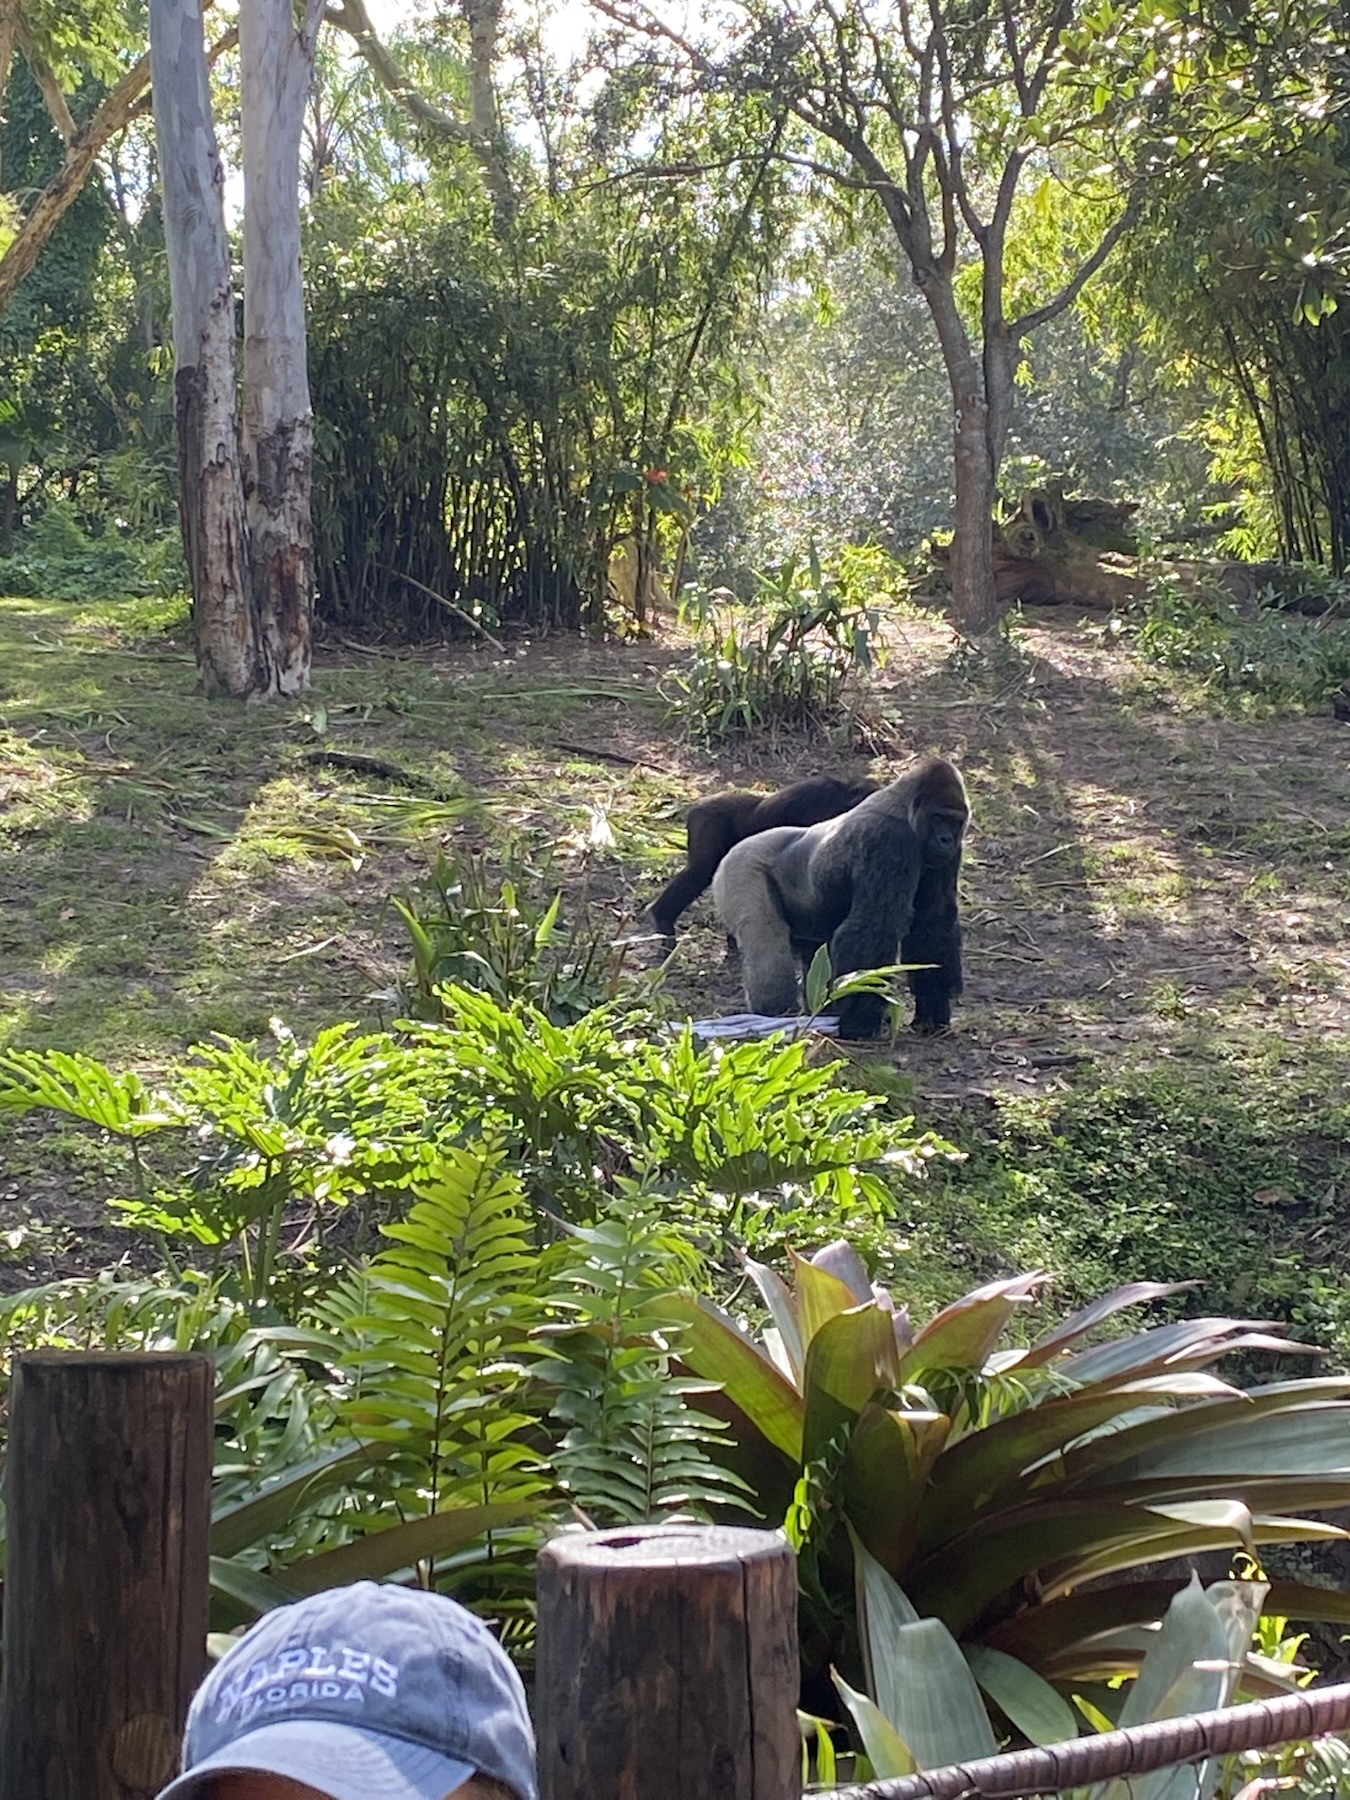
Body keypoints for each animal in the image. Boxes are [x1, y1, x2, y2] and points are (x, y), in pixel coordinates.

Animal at [711, 756, 969, 1037]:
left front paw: (933, 1007)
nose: (945, 839)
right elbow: (874, 926)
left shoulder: (949, 854)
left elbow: (933, 919)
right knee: (767, 939)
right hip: (740, 866)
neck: (905, 807)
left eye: (954, 821)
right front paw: (859, 1020)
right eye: (937, 818)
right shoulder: (888, 839)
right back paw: (776, 1013)